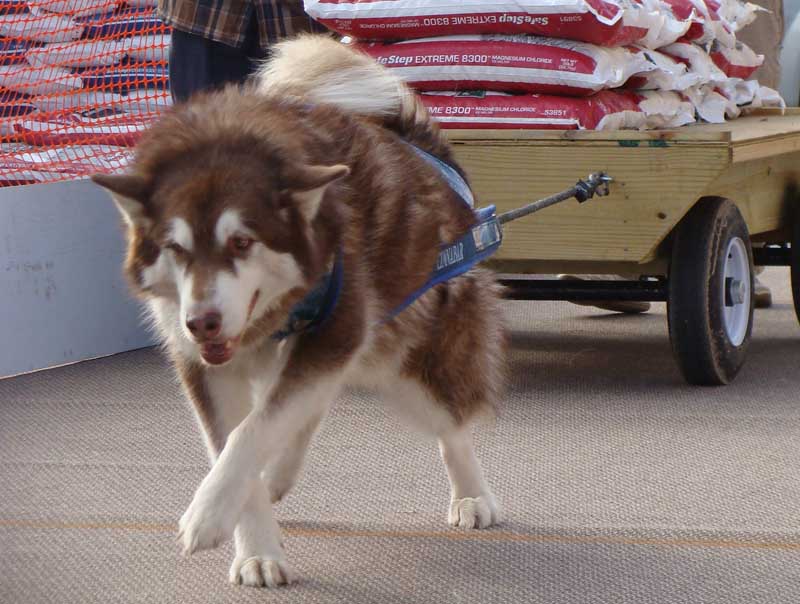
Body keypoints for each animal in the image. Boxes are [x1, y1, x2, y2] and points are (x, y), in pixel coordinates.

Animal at [92, 35, 506, 588]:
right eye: (175, 248)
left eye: (241, 242)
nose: (201, 322)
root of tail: (424, 152)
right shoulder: (205, 364)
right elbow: (238, 439)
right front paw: (255, 549)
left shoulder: (338, 328)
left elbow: (252, 432)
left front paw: (207, 514)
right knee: (312, 405)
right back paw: (277, 477)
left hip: (403, 352)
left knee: (449, 422)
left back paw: (472, 494)